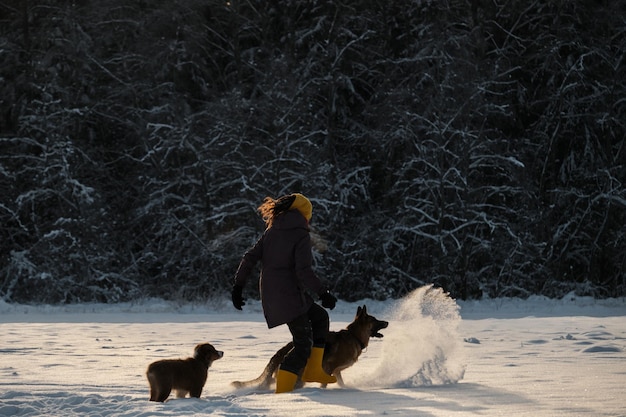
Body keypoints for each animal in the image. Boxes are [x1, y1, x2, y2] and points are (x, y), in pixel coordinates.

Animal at [229, 304, 386, 388]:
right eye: (375, 320)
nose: (387, 322)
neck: (354, 336)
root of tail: (284, 349)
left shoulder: (336, 372)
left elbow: (341, 382)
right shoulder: (329, 368)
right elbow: (325, 383)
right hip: (299, 375)